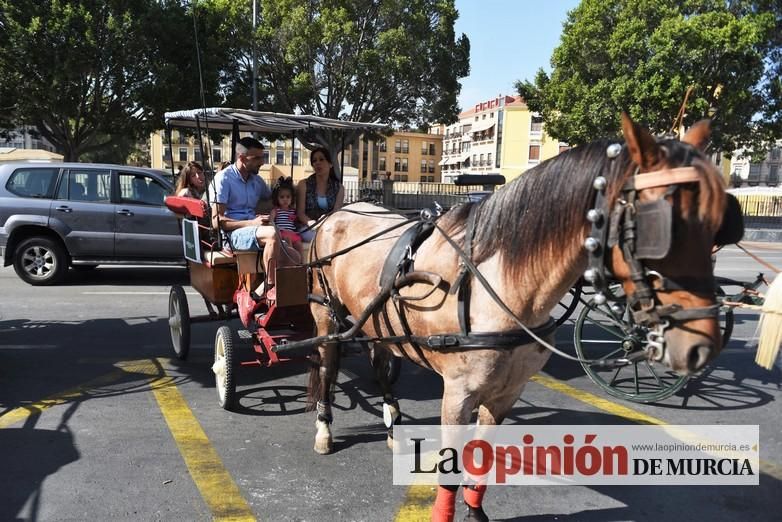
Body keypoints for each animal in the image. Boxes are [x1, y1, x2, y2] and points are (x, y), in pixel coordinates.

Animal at [304, 115, 728, 520]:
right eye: (657, 226)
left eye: (716, 222)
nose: (700, 345)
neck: (497, 284)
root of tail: (336, 215)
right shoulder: (457, 395)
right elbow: (450, 470)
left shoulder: (507, 392)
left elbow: (482, 460)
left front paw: (475, 511)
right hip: (327, 313)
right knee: (328, 364)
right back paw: (324, 427)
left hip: (377, 320)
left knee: (380, 362)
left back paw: (393, 421)